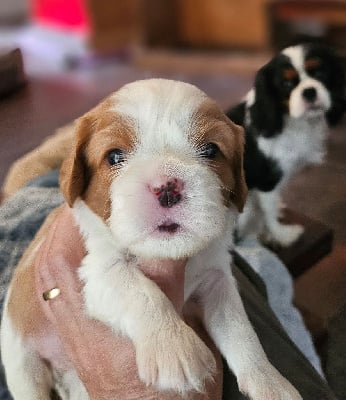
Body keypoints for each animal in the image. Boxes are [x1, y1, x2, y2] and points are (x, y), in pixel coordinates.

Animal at [0, 79, 300, 400]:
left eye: (211, 150)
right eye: (114, 156)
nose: (166, 188)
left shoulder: (216, 279)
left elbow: (240, 329)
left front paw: (269, 382)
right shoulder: (96, 272)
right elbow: (139, 290)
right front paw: (173, 347)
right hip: (21, 362)